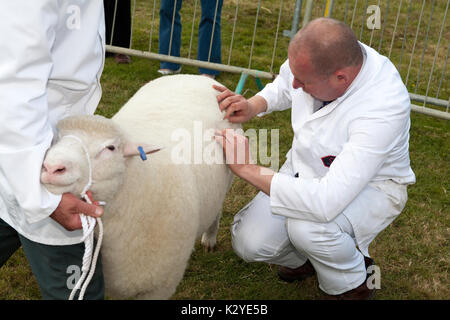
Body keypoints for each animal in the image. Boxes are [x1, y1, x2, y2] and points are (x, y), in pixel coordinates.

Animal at [40, 75, 241, 300]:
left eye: (110, 148)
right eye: (58, 138)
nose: (52, 167)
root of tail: (198, 77)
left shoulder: (159, 285)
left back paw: (210, 238)